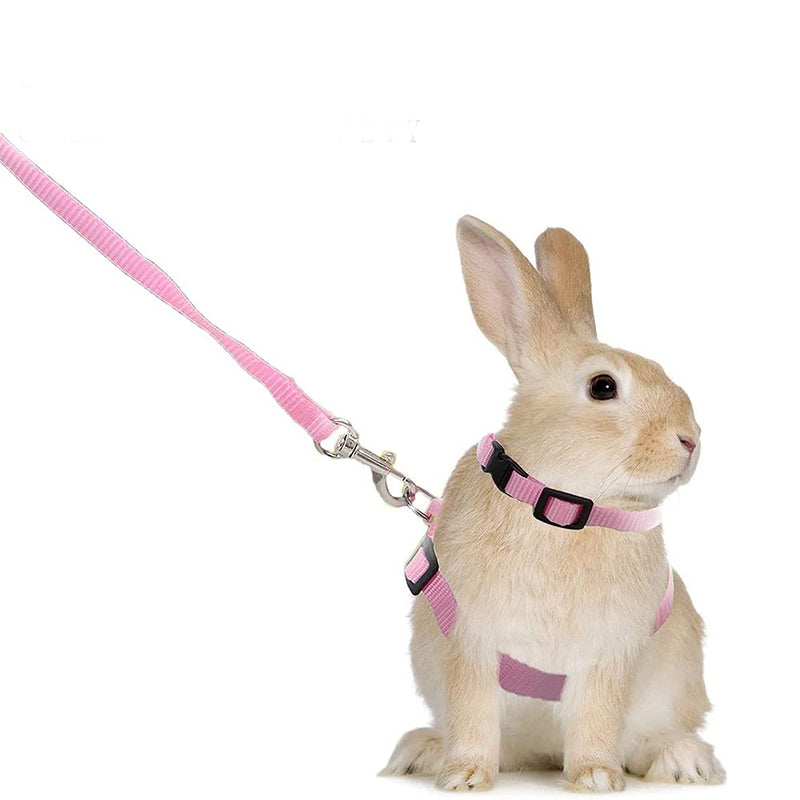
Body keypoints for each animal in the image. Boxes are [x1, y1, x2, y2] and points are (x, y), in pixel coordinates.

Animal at [381, 217, 724, 792]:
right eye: (603, 386)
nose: (691, 440)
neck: (563, 507)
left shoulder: (607, 656)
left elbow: (597, 719)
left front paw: (596, 778)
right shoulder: (473, 645)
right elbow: (472, 715)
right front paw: (464, 776)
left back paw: (684, 761)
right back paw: (422, 751)